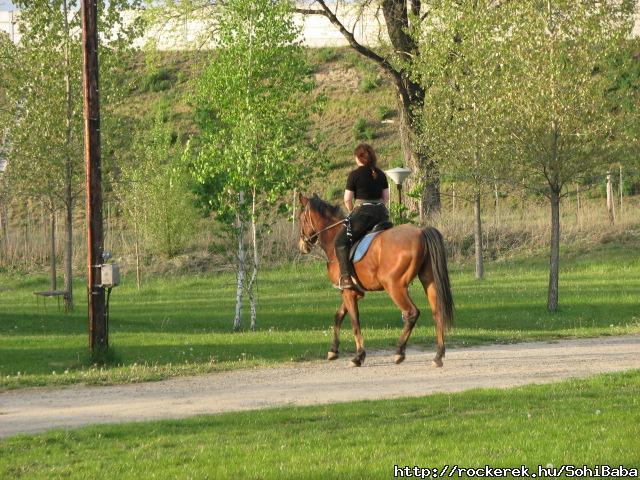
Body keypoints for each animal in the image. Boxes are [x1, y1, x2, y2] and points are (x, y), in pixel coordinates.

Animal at [298, 194, 452, 368]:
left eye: (301, 218)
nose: (302, 245)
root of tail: (420, 232)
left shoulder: (348, 292)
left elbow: (355, 322)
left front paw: (358, 356)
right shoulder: (351, 292)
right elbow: (339, 316)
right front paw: (333, 351)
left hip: (394, 286)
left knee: (411, 313)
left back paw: (399, 352)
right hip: (429, 281)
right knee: (437, 313)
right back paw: (438, 356)